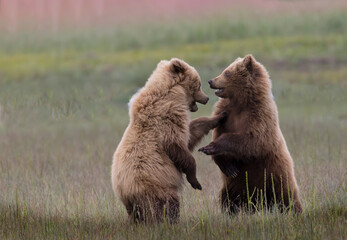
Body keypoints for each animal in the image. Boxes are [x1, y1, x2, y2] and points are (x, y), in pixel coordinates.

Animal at [111, 58, 226, 223]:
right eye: (198, 84)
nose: (207, 98)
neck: (172, 95)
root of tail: (122, 189)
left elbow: (191, 133)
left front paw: (218, 117)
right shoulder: (167, 121)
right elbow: (179, 149)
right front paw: (196, 182)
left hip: (133, 202)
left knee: (137, 213)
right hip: (155, 186)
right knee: (167, 204)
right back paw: (169, 220)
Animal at [200, 54, 304, 214]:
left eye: (227, 73)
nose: (211, 81)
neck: (241, 103)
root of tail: (259, 202)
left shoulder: (260, 116)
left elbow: (252, 140)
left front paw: (210, 147)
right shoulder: (224, 114)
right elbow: (218, 133)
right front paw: (229, 167)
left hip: (276, 175)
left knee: (287, 197)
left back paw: (294, 211)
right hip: (234, 187)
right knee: (229, 199)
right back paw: (231, 212)